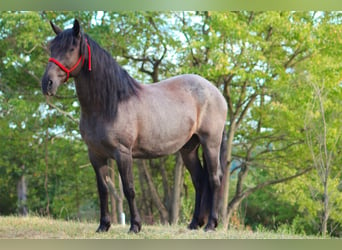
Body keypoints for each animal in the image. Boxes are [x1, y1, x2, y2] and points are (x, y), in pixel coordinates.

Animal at [41, 19, 227, 232]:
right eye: (51, 47)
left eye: (71, 48)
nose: (47, 83)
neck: (109, 104)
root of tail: (215, 91)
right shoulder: (95, 155)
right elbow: (103, 189)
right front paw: (103, 226)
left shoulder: (123, 153)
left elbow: (129, 189)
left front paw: (135, 226)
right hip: (188, 149)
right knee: (200, 180)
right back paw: (195, 223)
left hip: (211, 143)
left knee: (214, 179)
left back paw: (211, 224)